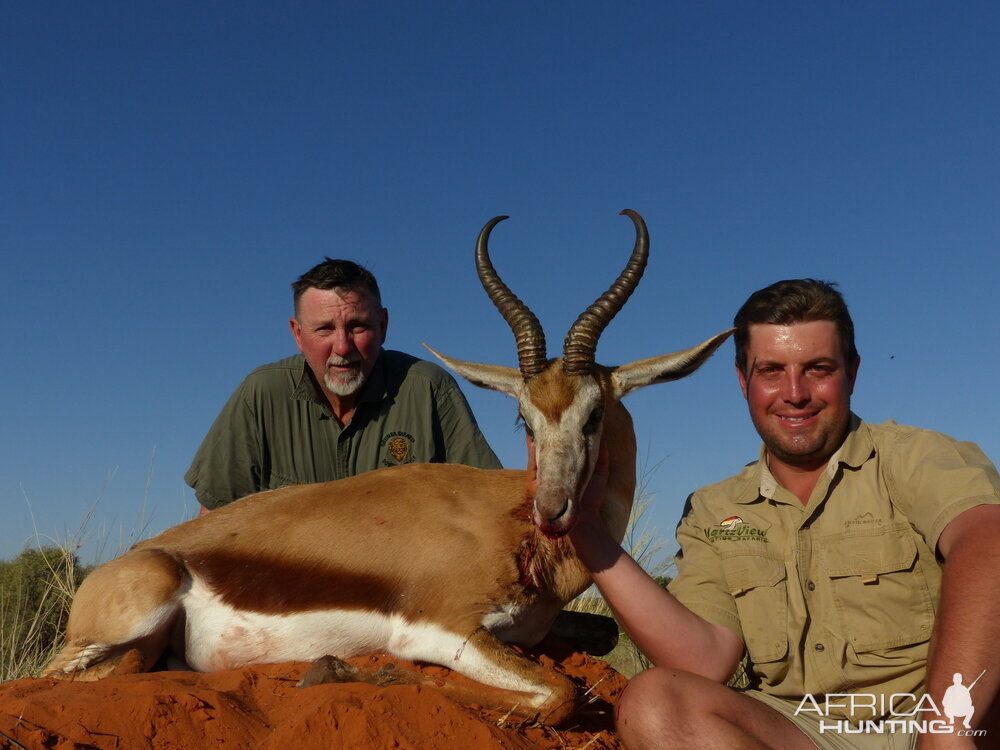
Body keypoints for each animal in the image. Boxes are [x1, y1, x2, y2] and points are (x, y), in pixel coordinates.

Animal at [43, 209, 732, 724]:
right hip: (126, 618)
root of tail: (144, 554)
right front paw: (345, 672)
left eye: (593, 415)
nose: (553, 509)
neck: (515, 529)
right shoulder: (441, 629)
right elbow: (557, 693)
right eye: (525, 420)